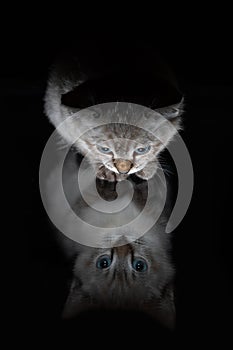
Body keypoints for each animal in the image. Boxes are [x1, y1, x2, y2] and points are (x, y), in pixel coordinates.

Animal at [44, 54, 184, 183]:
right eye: (104, 149)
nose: (123, 170)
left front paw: (149, 165)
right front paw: (104, 168)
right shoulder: (59, 115)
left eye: (142, 150)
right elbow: (82, 144)